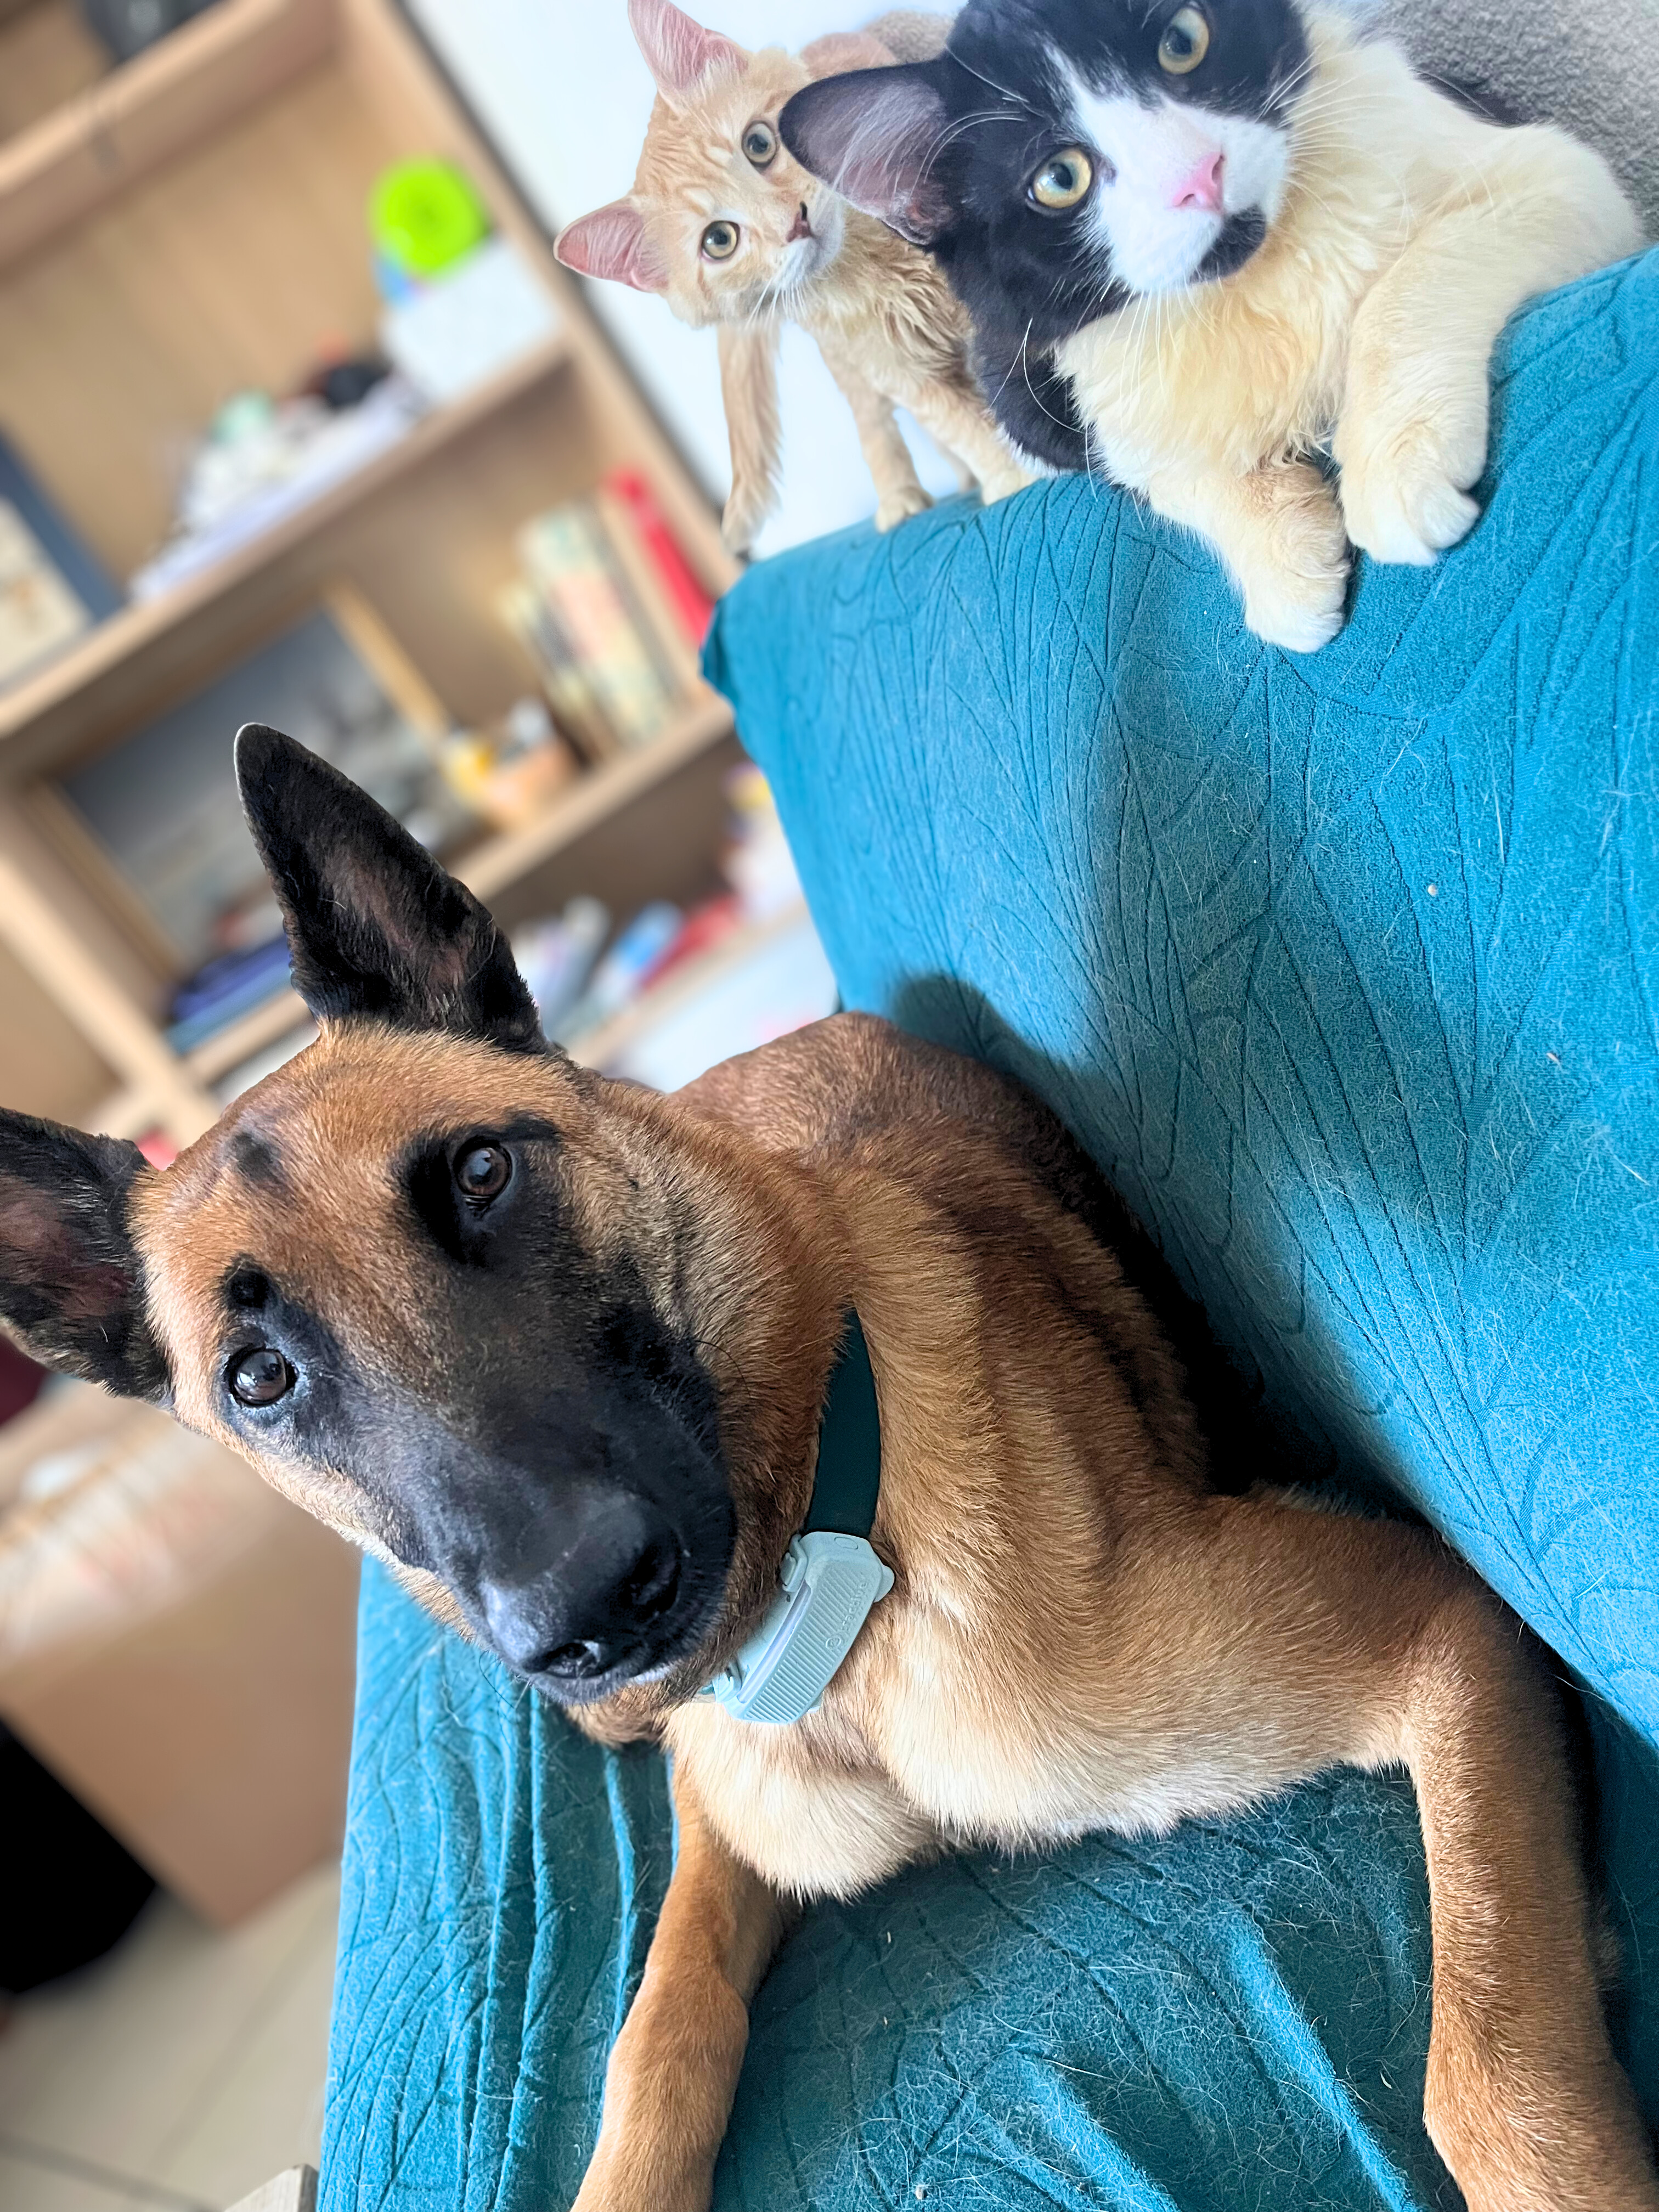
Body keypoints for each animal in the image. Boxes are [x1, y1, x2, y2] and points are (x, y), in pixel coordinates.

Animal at [1, 726, 1654, 2212]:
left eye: (482, 1172)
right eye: (258, 1382)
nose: (586, 1610)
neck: (840, 1613)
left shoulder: (1444, 1634)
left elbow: (1490, 2077)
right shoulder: (721, 1818)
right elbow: (655, 2036)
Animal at [554, 0, 1034, 556]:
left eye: (759, 143)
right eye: (719, 241)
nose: (795, 222)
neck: (872, 266)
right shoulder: (900, 370)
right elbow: (963, 424)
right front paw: (1013, 478)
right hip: (853, 366)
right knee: (875, 421)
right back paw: (903, 497)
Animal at [781, 0, 1645, 649]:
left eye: (1183, 42)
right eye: (1059, 178)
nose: (1202, 174)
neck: (1249, 279)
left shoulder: (1562, 176)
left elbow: (1419, 273)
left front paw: (1394, 457)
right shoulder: (1050, 381)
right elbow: (1163, 470)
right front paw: (1284, 563)